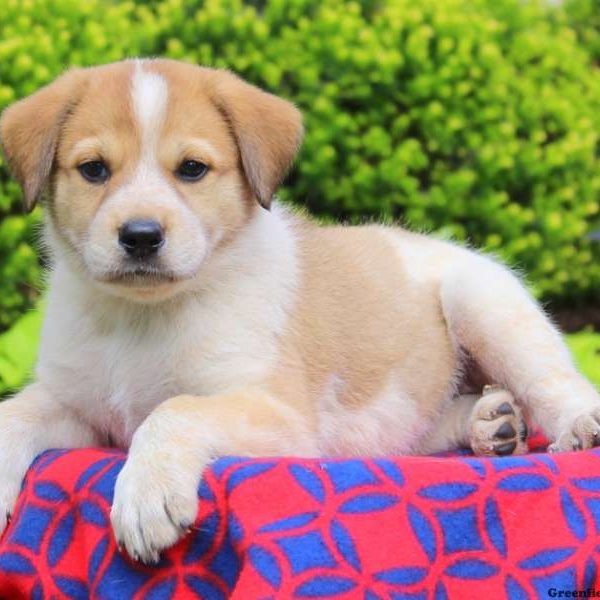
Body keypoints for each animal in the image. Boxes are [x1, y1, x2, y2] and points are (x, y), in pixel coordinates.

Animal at [1, 58, 600, 564]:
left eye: (192, 169)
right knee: (417, 431)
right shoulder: (76, 403)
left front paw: (145, 495)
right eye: (94, 170)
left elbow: (175, 409)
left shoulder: (281, 415)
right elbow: (14, 414)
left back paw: (576, 424)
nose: (141, 236)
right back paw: (490, 423)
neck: (140, 319)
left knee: (555, 383)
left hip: (486, 307)